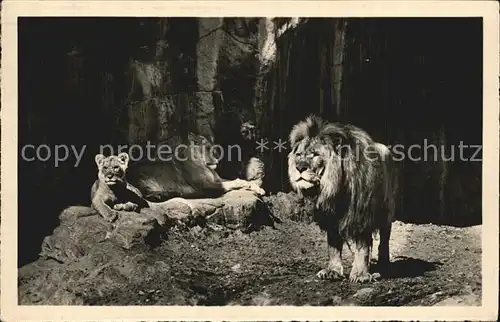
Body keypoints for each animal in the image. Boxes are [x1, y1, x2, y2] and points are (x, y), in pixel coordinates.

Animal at [288, 115, 396, 282]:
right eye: (298, 155)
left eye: (315, 154)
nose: (299, 167)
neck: (334, 188)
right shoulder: (330, 217)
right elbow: (333, 247)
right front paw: (333, 271)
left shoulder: (361, 215)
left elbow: (363, 247)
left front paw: (360, 274)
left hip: (387, 211)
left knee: (384, 240)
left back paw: (383, 265)